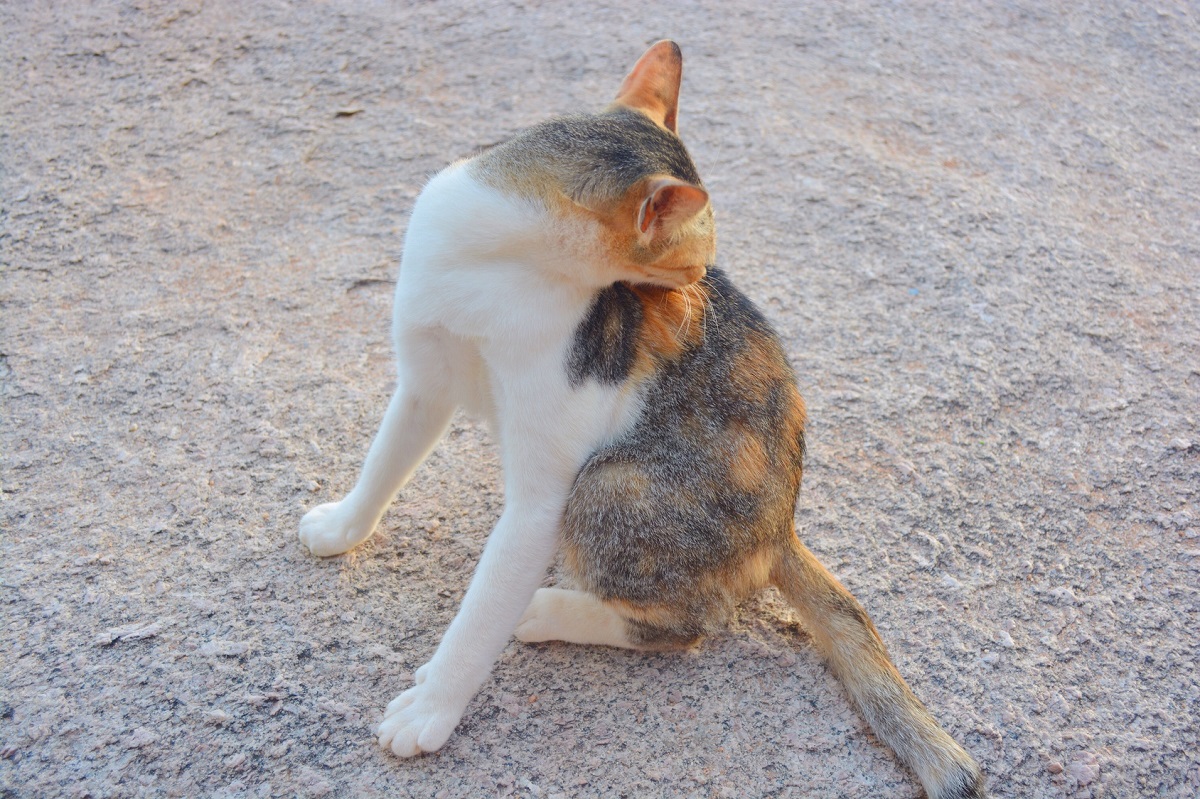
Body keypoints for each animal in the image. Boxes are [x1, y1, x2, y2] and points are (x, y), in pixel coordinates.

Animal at [297, 41, 984, 796]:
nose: (701, 295)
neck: (489, 264)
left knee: (695, 621)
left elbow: (479, 617)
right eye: (694, 260)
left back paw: (550, 610)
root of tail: (781, 526)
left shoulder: (543, 496)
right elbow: (385, 459)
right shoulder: (424, 378)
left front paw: (434, 706)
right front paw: (344, 526)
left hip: (610, 486)